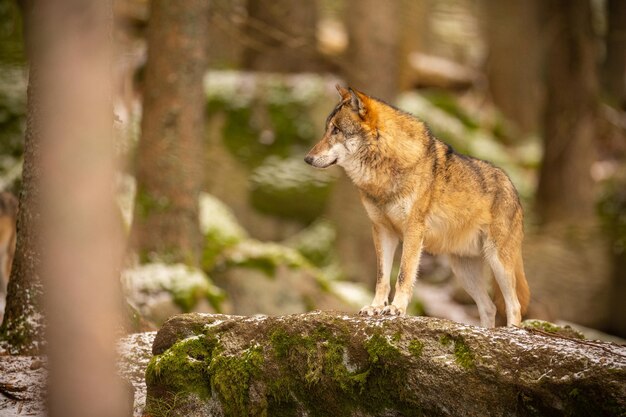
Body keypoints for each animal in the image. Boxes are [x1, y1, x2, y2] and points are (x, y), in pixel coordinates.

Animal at [302, 84, 528, 324]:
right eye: (326, 129)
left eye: (336, 130)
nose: (307, 158)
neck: (382, 173)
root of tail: (512, 186)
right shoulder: (382, 231)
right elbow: (382, 277)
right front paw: (375, 307)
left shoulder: (413, 231)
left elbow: (404, 274)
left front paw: (396, 309)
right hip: (463, 270)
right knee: (489, 307)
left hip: (498, 262)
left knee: (514, 305)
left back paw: (511, 330)